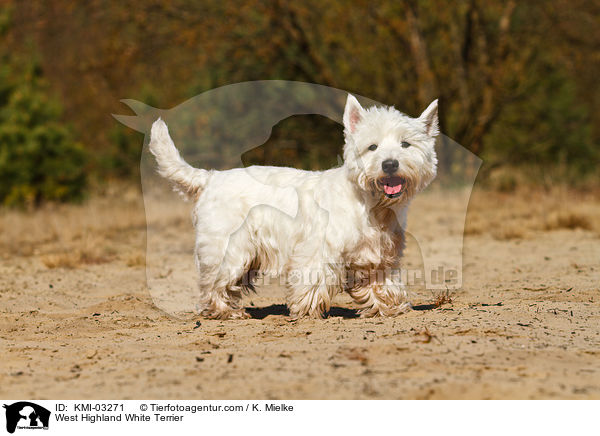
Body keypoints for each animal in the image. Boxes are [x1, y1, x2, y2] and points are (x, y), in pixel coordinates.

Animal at [148, 94, 438, 320]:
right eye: (372, 147)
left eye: (405, 144)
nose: (389, 164)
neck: (372, 205)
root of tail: (210, 178)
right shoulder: (317, 248)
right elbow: (313, 279)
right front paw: (307, 311)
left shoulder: (379, 255)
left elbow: (382, 284)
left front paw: (390, 307)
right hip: (229, 248)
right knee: (214, 282)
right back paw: (224, 311)